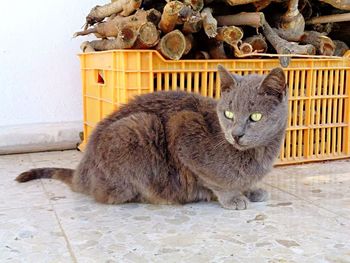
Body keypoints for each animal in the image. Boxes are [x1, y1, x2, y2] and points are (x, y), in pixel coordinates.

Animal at [17, 65, 288, 210]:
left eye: (255, 116)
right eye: (228, 114)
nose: (236, 134)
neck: (258, 155)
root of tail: (81, 172)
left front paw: (252, 190)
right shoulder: (184, 130)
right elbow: (216, 180)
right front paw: (234, 197)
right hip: (139, 126)